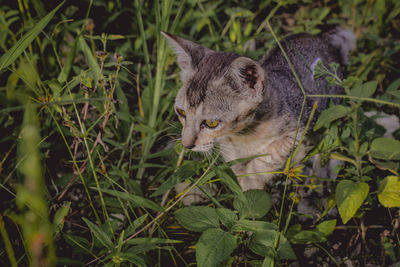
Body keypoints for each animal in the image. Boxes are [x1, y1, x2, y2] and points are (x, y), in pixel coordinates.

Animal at [161, 26, 354, 193]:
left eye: (211, 123)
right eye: (181, 113)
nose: (186, 145)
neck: (245, 136)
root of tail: (321, 38)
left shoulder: (296, 130)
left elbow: (267, 159)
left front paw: (254, 184)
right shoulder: (228, 146)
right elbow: (237, 166)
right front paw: (245, 190)